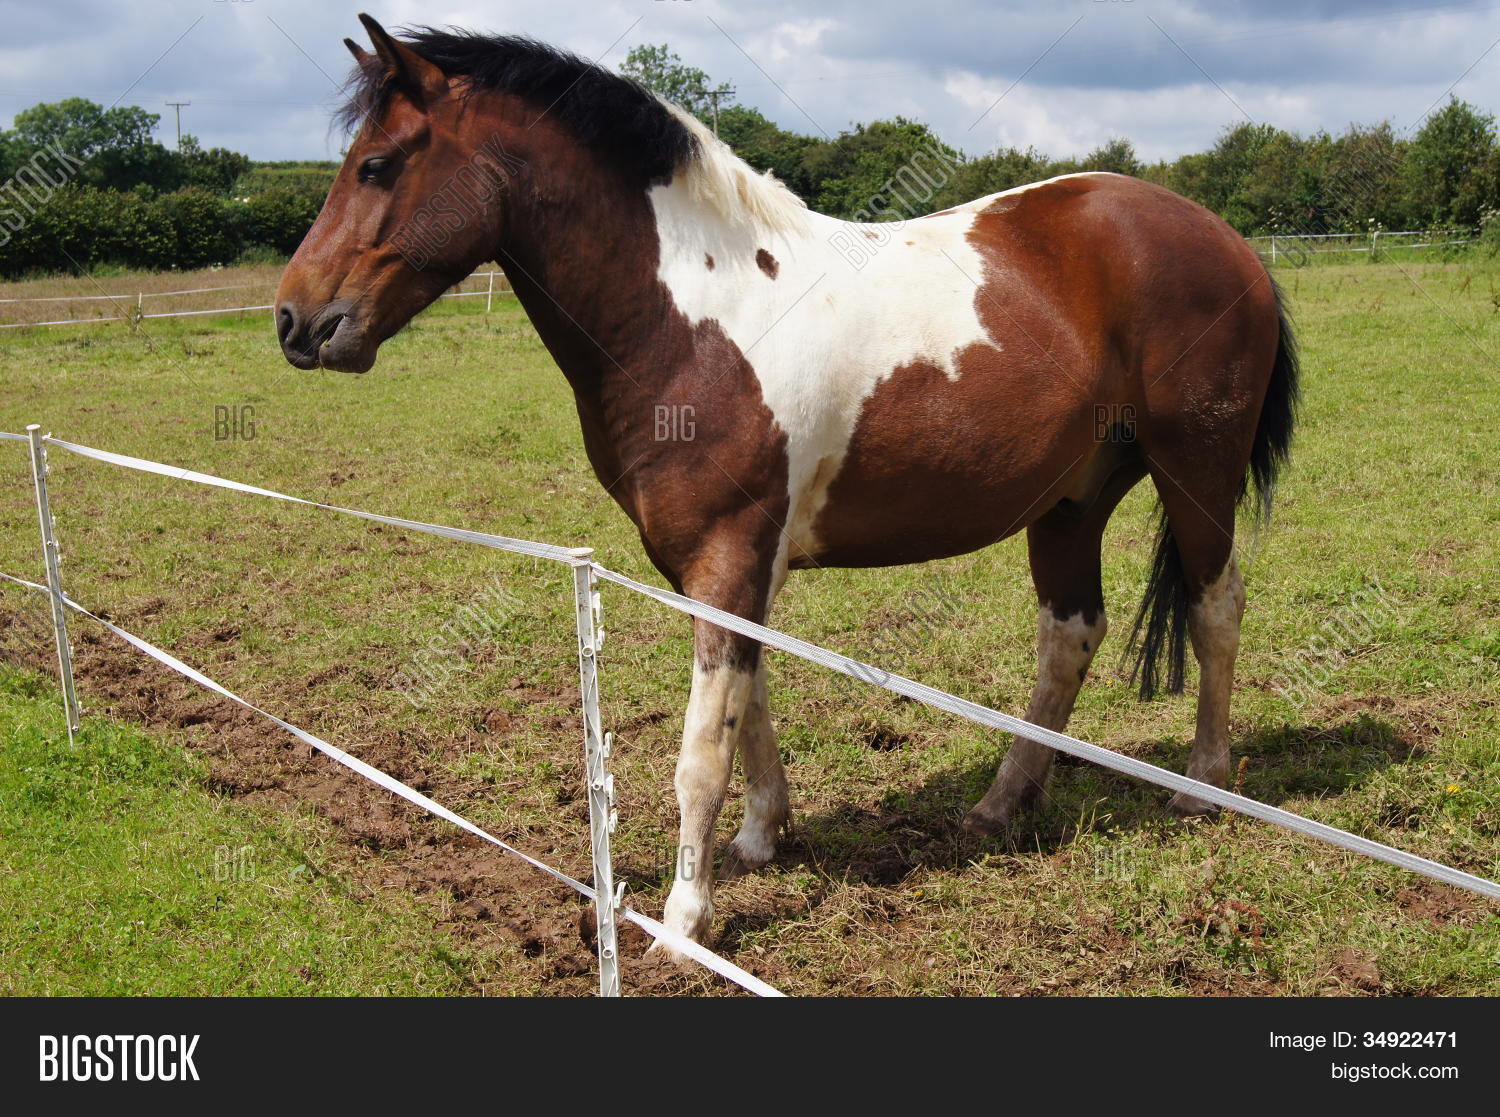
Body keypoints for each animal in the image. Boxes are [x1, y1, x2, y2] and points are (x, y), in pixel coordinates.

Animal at [275, 16, 1299, 956]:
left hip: (1194, 473)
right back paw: (1001, 803)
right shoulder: (719, 560)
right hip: (1071, 501)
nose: (295, 319)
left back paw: (1206, 782)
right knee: (1070, 637)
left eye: (376, 166)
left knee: (1216, 608)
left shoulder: (729, 551)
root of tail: (1225, 238)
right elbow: (749, 699)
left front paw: (684, 920)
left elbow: (701, 748)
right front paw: (764, 835)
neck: (694, 313)